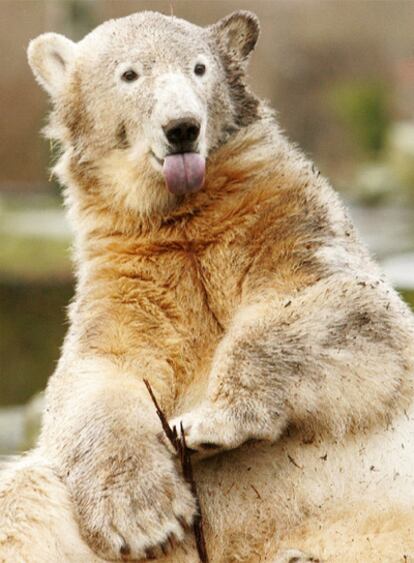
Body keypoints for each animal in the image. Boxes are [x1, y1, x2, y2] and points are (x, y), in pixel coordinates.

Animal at [0, 8, 414, 563]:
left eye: (199, 68)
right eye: (130, 74)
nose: (182, 128)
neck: (186, 223)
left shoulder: (288, 226)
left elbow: (343, 308)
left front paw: (206, 424)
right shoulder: (127, 283)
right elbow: (94, 379)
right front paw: (144, 516)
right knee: (23, 500)